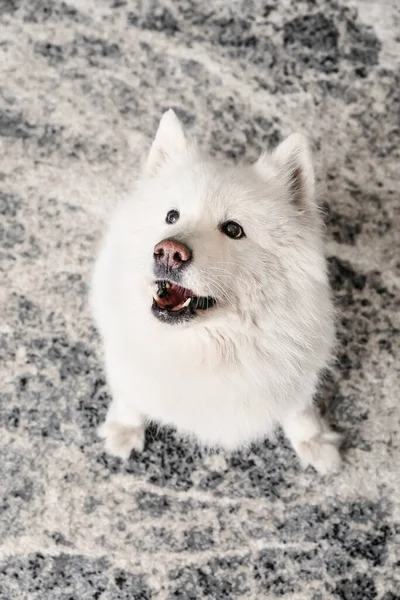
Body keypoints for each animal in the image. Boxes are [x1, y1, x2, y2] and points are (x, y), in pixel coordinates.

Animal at [90, 108, 340, 474]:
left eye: (233, 230)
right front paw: (123, 430)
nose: (168, 252)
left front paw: (316, 442)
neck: (209, 347)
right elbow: (129, 396)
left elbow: (299, 412)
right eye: (172, 215)